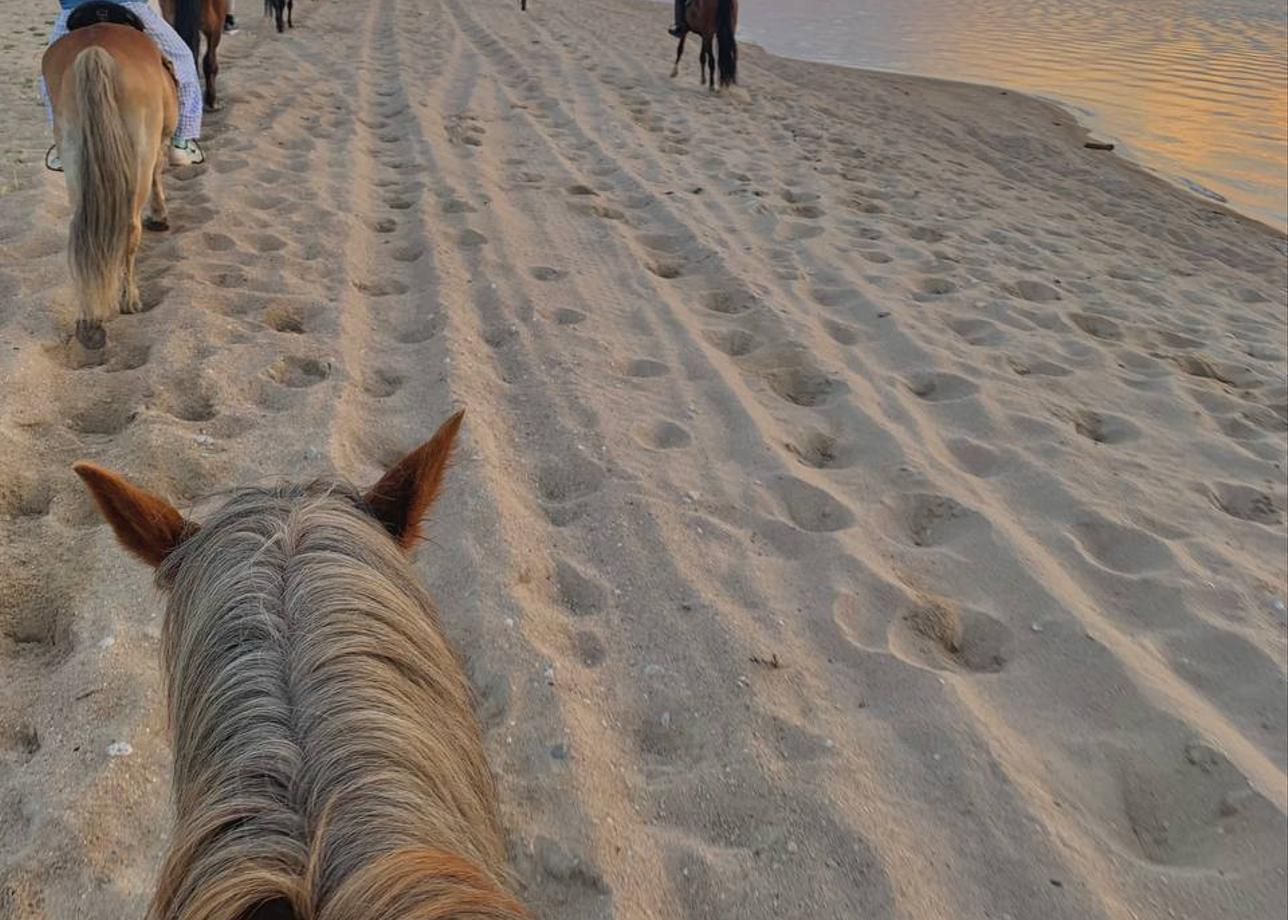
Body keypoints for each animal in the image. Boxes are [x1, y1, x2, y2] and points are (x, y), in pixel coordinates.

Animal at [41, 22, 177, 350]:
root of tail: (96, 51)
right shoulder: (159, 142)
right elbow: (159, 173)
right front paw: (160, 216)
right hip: (140, 153)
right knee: (130, 229)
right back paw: (129, 300)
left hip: (74, 155)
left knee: (81, 233)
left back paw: (89, 320)